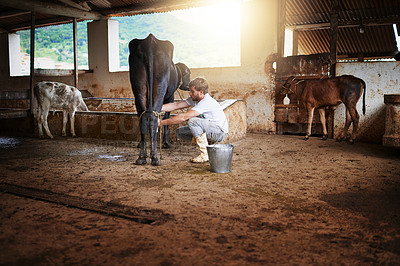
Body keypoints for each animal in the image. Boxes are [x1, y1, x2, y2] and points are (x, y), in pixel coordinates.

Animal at [129, 34, 190, 165]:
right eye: (189, 73)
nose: (189, 85)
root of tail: (150, 42)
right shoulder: (170, 97)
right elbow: (166, 117)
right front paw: (166, 143)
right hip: (160, 86)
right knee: (153, 117)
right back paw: (155, 157)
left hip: (138, 86)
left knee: (143, 116)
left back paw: (142, 157)